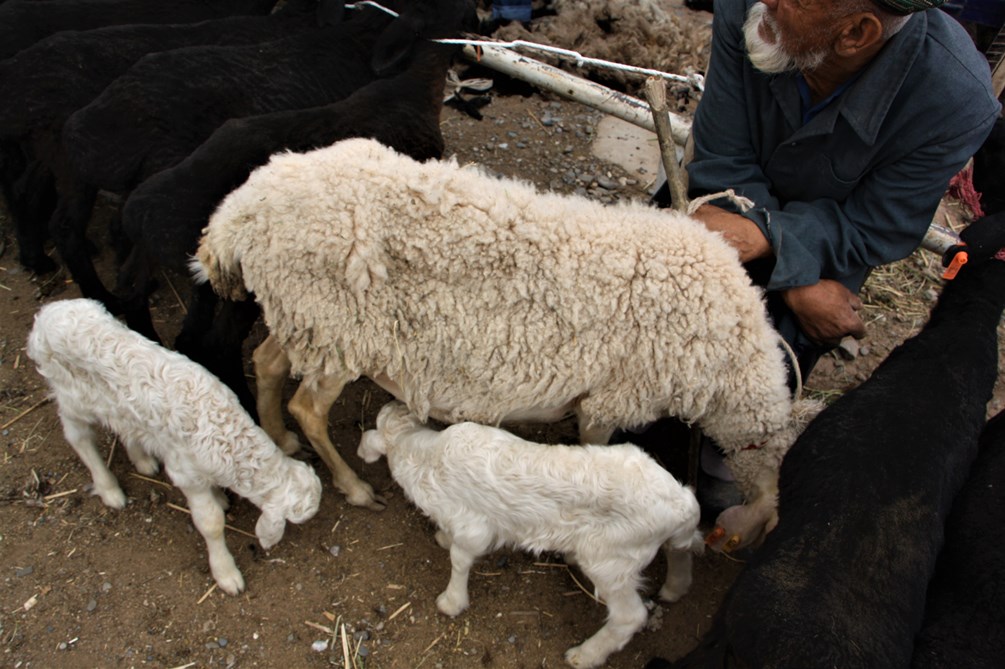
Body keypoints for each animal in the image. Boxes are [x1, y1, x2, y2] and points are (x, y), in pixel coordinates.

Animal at [25, 299, 321, 590]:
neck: (229, 440)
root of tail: (43, 318)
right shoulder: (186, 474)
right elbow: (211, 522)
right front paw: (226, 573)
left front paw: (219, 497)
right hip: (71, 396)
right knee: (79, 438)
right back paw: (109, 489)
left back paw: (142, 460)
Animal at [191, 137, 820, 550]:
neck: (727, 357)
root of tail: (236, 216)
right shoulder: (609, 400)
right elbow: (594, 446)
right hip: (336, 325)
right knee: (308, 407)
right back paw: (352, 487)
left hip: (302, 314)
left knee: (269, 364)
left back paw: (279, 438)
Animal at [361, 397, 707, 662]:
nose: (394, 401)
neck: (422, 455)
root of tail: (682, 503)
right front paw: (442, 538)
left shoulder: (472, 527)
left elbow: (460, 560)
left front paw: (450, 601)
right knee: (681, 548)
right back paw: (675, 588)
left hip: (610, 560)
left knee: (629, 616)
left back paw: (584, 656)